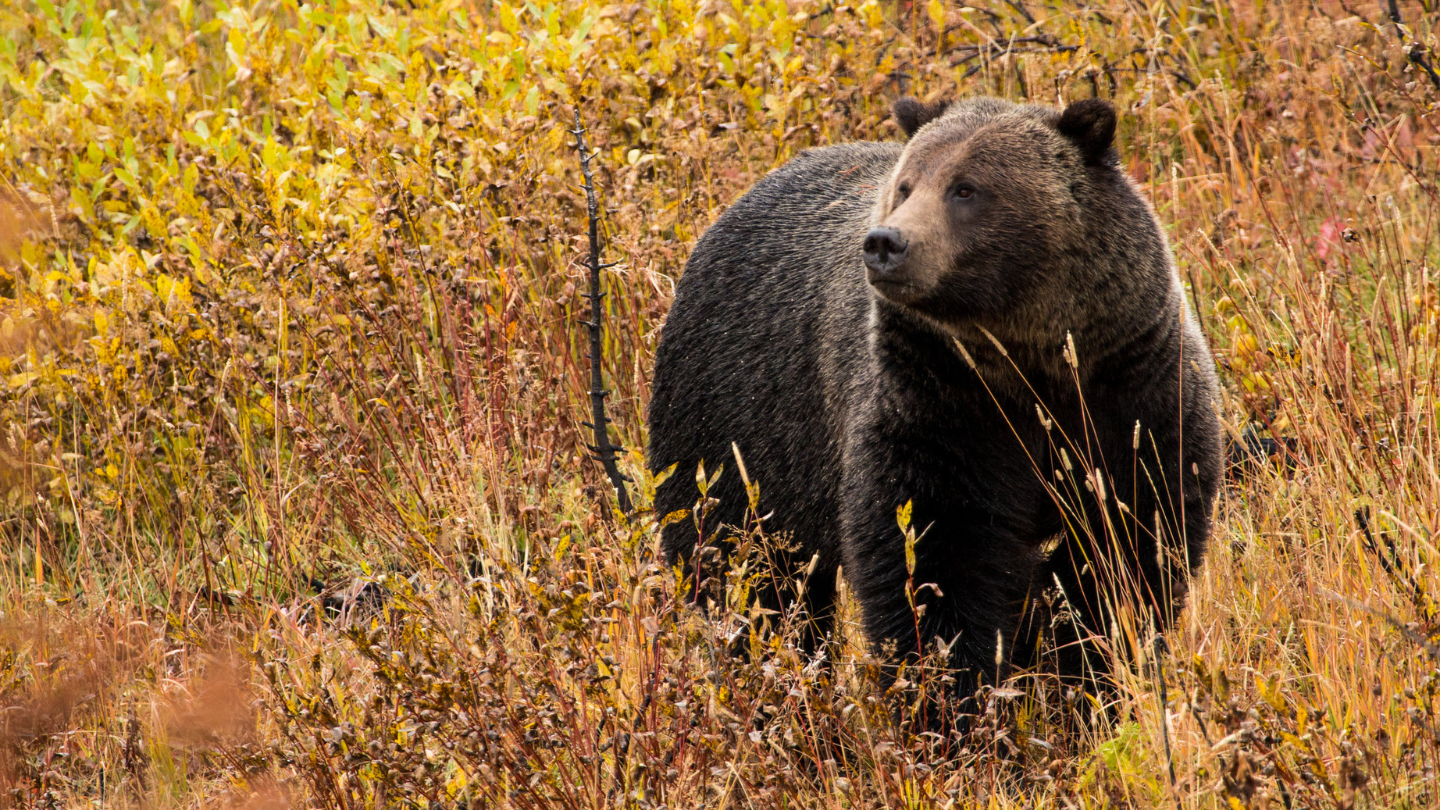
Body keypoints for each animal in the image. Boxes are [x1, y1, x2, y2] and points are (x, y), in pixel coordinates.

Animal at [646, 95, 1222, 704]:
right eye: (906, 185)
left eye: (965, 188)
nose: (885, 243)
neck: (1033, 366)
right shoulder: (938, 402)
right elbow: (934, 555)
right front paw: (950, 691)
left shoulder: (1133, 392)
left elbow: (1130, 545)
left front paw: (1082, 673)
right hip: (738, 423)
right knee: (749, 570)